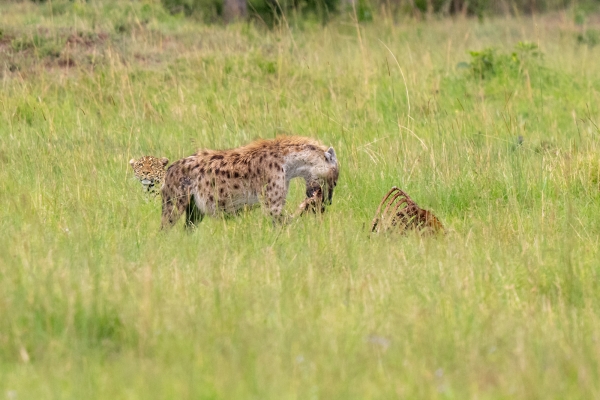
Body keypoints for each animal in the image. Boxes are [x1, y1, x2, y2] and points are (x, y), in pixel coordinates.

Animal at [161, 135, 338, 230]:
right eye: (335, 181)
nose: (328, 202)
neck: (289, 163)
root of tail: (170, 168)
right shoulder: (272, 198)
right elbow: (283, 219)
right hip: (175, 201)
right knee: (165, 225)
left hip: (195, 209)